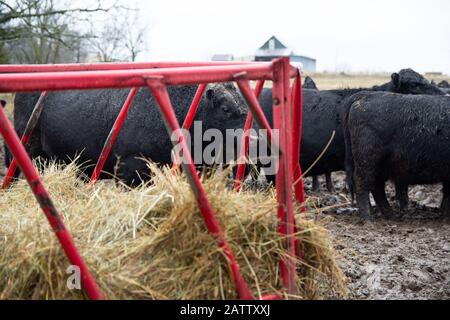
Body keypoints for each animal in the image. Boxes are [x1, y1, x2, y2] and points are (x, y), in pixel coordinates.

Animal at [342, 91, 448, 219]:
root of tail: (365, 95)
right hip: (367, 157)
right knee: (361, 182)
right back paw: (368, 219)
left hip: (380, 163)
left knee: (377, 185)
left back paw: (391, 215)